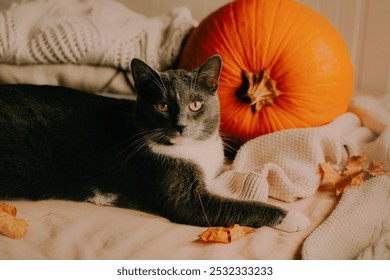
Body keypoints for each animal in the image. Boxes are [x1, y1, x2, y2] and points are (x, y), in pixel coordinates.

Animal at [0, 54, 310, 232]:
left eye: (196, 104)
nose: (181, 125)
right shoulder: (186, 200)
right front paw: (293, 218)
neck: (193, 148)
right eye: (162, 105)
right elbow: (239, 206)